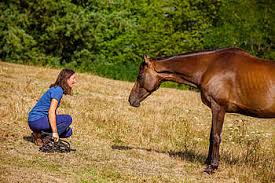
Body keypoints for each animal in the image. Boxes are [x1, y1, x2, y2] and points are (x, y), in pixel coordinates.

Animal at [129, 47, 275, 173]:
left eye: (140, 76)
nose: (131, 100)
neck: (209, 67)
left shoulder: (218, 108)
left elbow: (216, 136)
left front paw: (212, 167)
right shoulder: (215, 109)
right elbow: (211, 135)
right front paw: (207, 162)